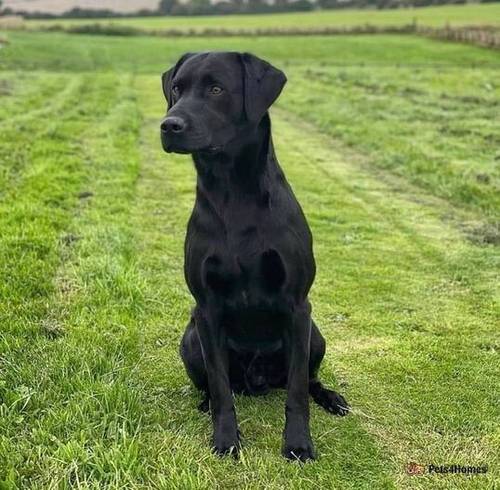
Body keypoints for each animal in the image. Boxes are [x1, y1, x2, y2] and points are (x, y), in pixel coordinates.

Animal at [160, 51, 348, 462]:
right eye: (177, 89)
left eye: (216, 89)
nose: (168, 125)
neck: (234, 196)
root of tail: (258, 380)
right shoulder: (206, 308)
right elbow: (220, 389)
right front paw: (226, 439)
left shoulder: (297, 305)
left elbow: (297, 391)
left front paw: (298, 444)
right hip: (191, 339)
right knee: (216, 385)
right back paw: (205, 403)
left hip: (315, 335)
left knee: (308, 379)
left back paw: (331, 398)